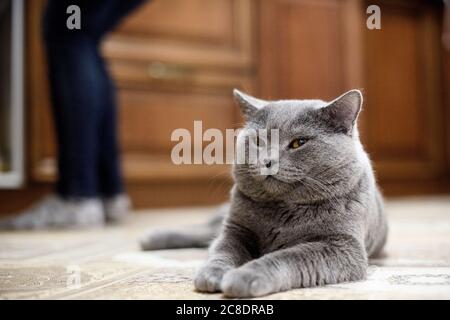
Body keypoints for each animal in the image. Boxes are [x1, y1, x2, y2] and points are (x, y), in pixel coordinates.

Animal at [140, 89, 386, 298]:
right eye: (258, 141)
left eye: (299, 142)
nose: (268, 161)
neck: (282, 212)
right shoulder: (236, 229)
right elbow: (222, 249)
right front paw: (212, 274)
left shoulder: (341, 246)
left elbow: (288, 257)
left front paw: (244, 276)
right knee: (206, 232)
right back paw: (151, 237)